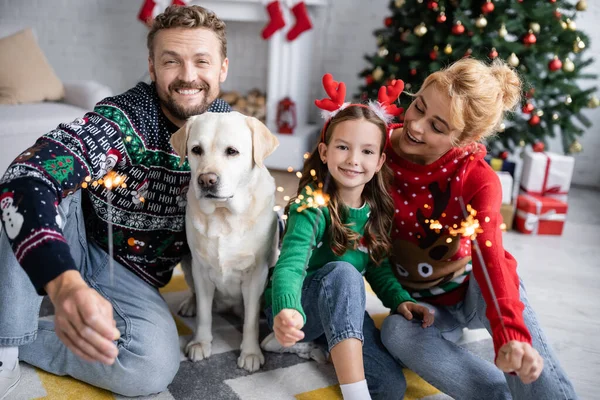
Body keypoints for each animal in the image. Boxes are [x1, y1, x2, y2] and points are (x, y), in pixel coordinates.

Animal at [170, 111, 280, 372]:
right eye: (196, 150)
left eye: (232, 151)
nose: (206, 180)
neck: (223, 214)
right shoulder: (201, 269)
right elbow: (204, 313)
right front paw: (200, 343)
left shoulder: (256, 274)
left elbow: (251, 320)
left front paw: (250, 353)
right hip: (187, 262)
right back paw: (189, 304)